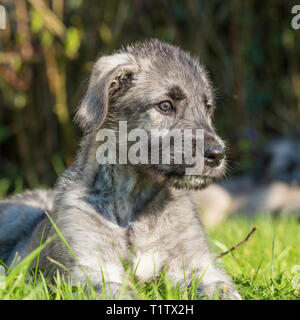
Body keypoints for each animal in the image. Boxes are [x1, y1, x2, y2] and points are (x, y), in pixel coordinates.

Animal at [0, 40, 241, 300]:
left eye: (207, 108)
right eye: (166, 105)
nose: (217, 155)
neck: (134, 206)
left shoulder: (196, 265)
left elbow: (222, 289)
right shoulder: (93, 270)